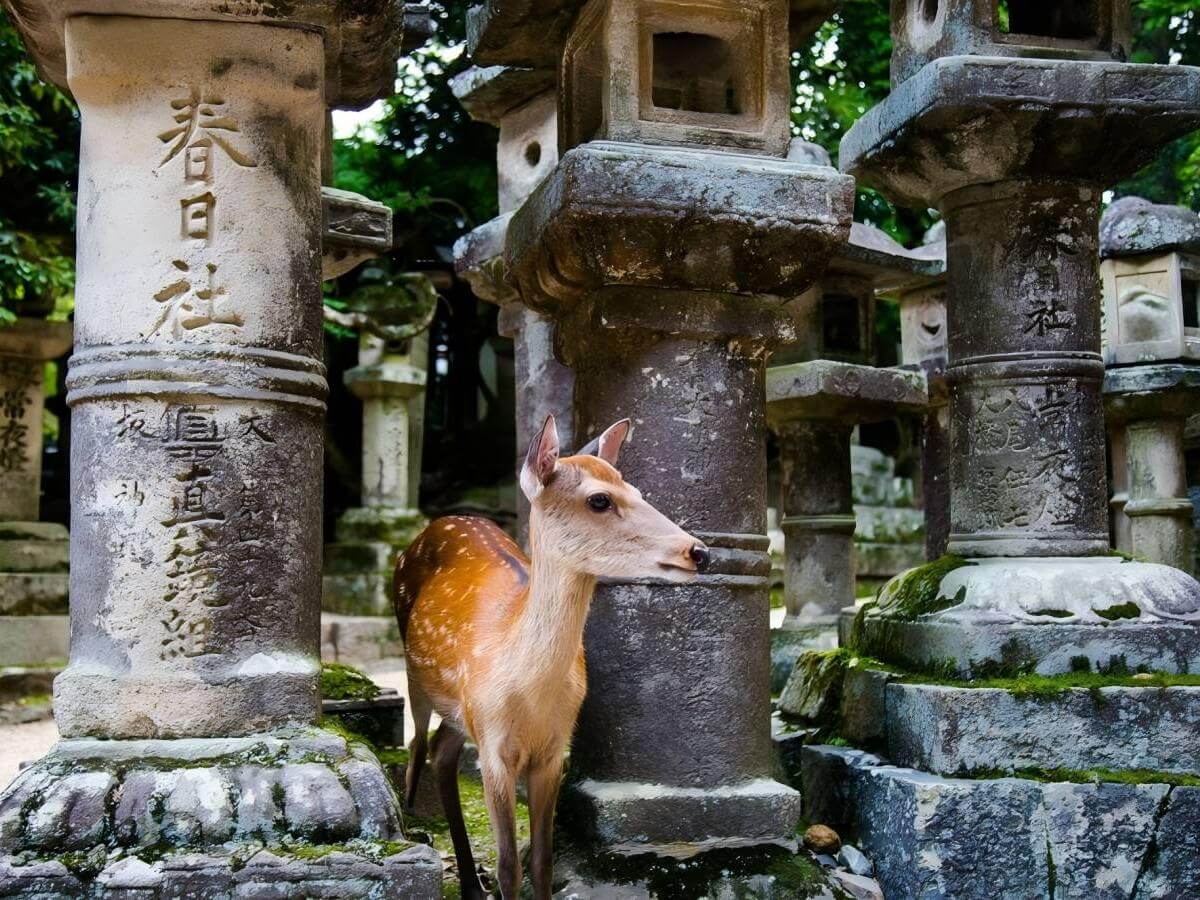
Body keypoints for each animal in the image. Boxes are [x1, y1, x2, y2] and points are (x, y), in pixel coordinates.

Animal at [393, 414, 709, 899]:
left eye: (638, 492)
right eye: (599, 499)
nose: (699, 551)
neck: (529, 698)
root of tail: (441, 520)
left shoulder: (554, 750)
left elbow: (542, 861)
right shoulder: (494, 748)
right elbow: (509, 866)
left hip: (460, 712)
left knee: (443, 752)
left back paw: (470, 884)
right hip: (418, 681)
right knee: (419, 748)